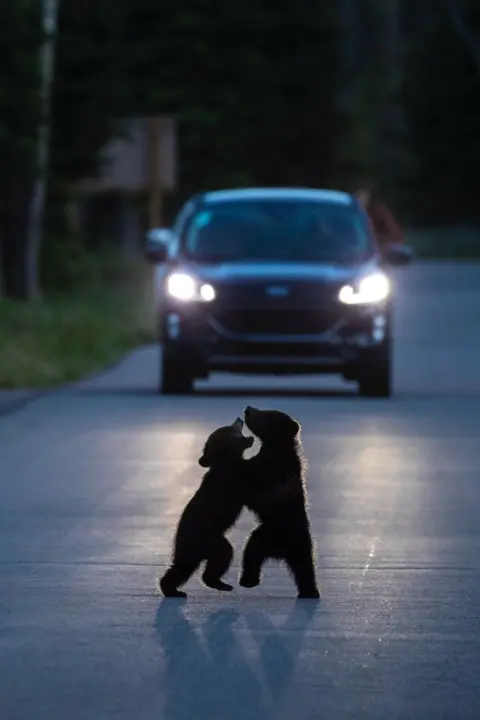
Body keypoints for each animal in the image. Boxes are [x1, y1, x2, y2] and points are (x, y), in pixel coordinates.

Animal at [158, 417, 254, 598]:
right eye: (231, 427)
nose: (239, 419)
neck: (226, 461)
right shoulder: (233, 479)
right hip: (209, 538)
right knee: (223, 554)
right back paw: (218, 583)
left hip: (191, 548)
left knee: (182, 567)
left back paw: (172, 589)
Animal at [239, 406, 320, 600]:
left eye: (266, 414)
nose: (248, 409)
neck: (277, 447)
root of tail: (281, 551)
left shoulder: (273, 468)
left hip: (283, 536)